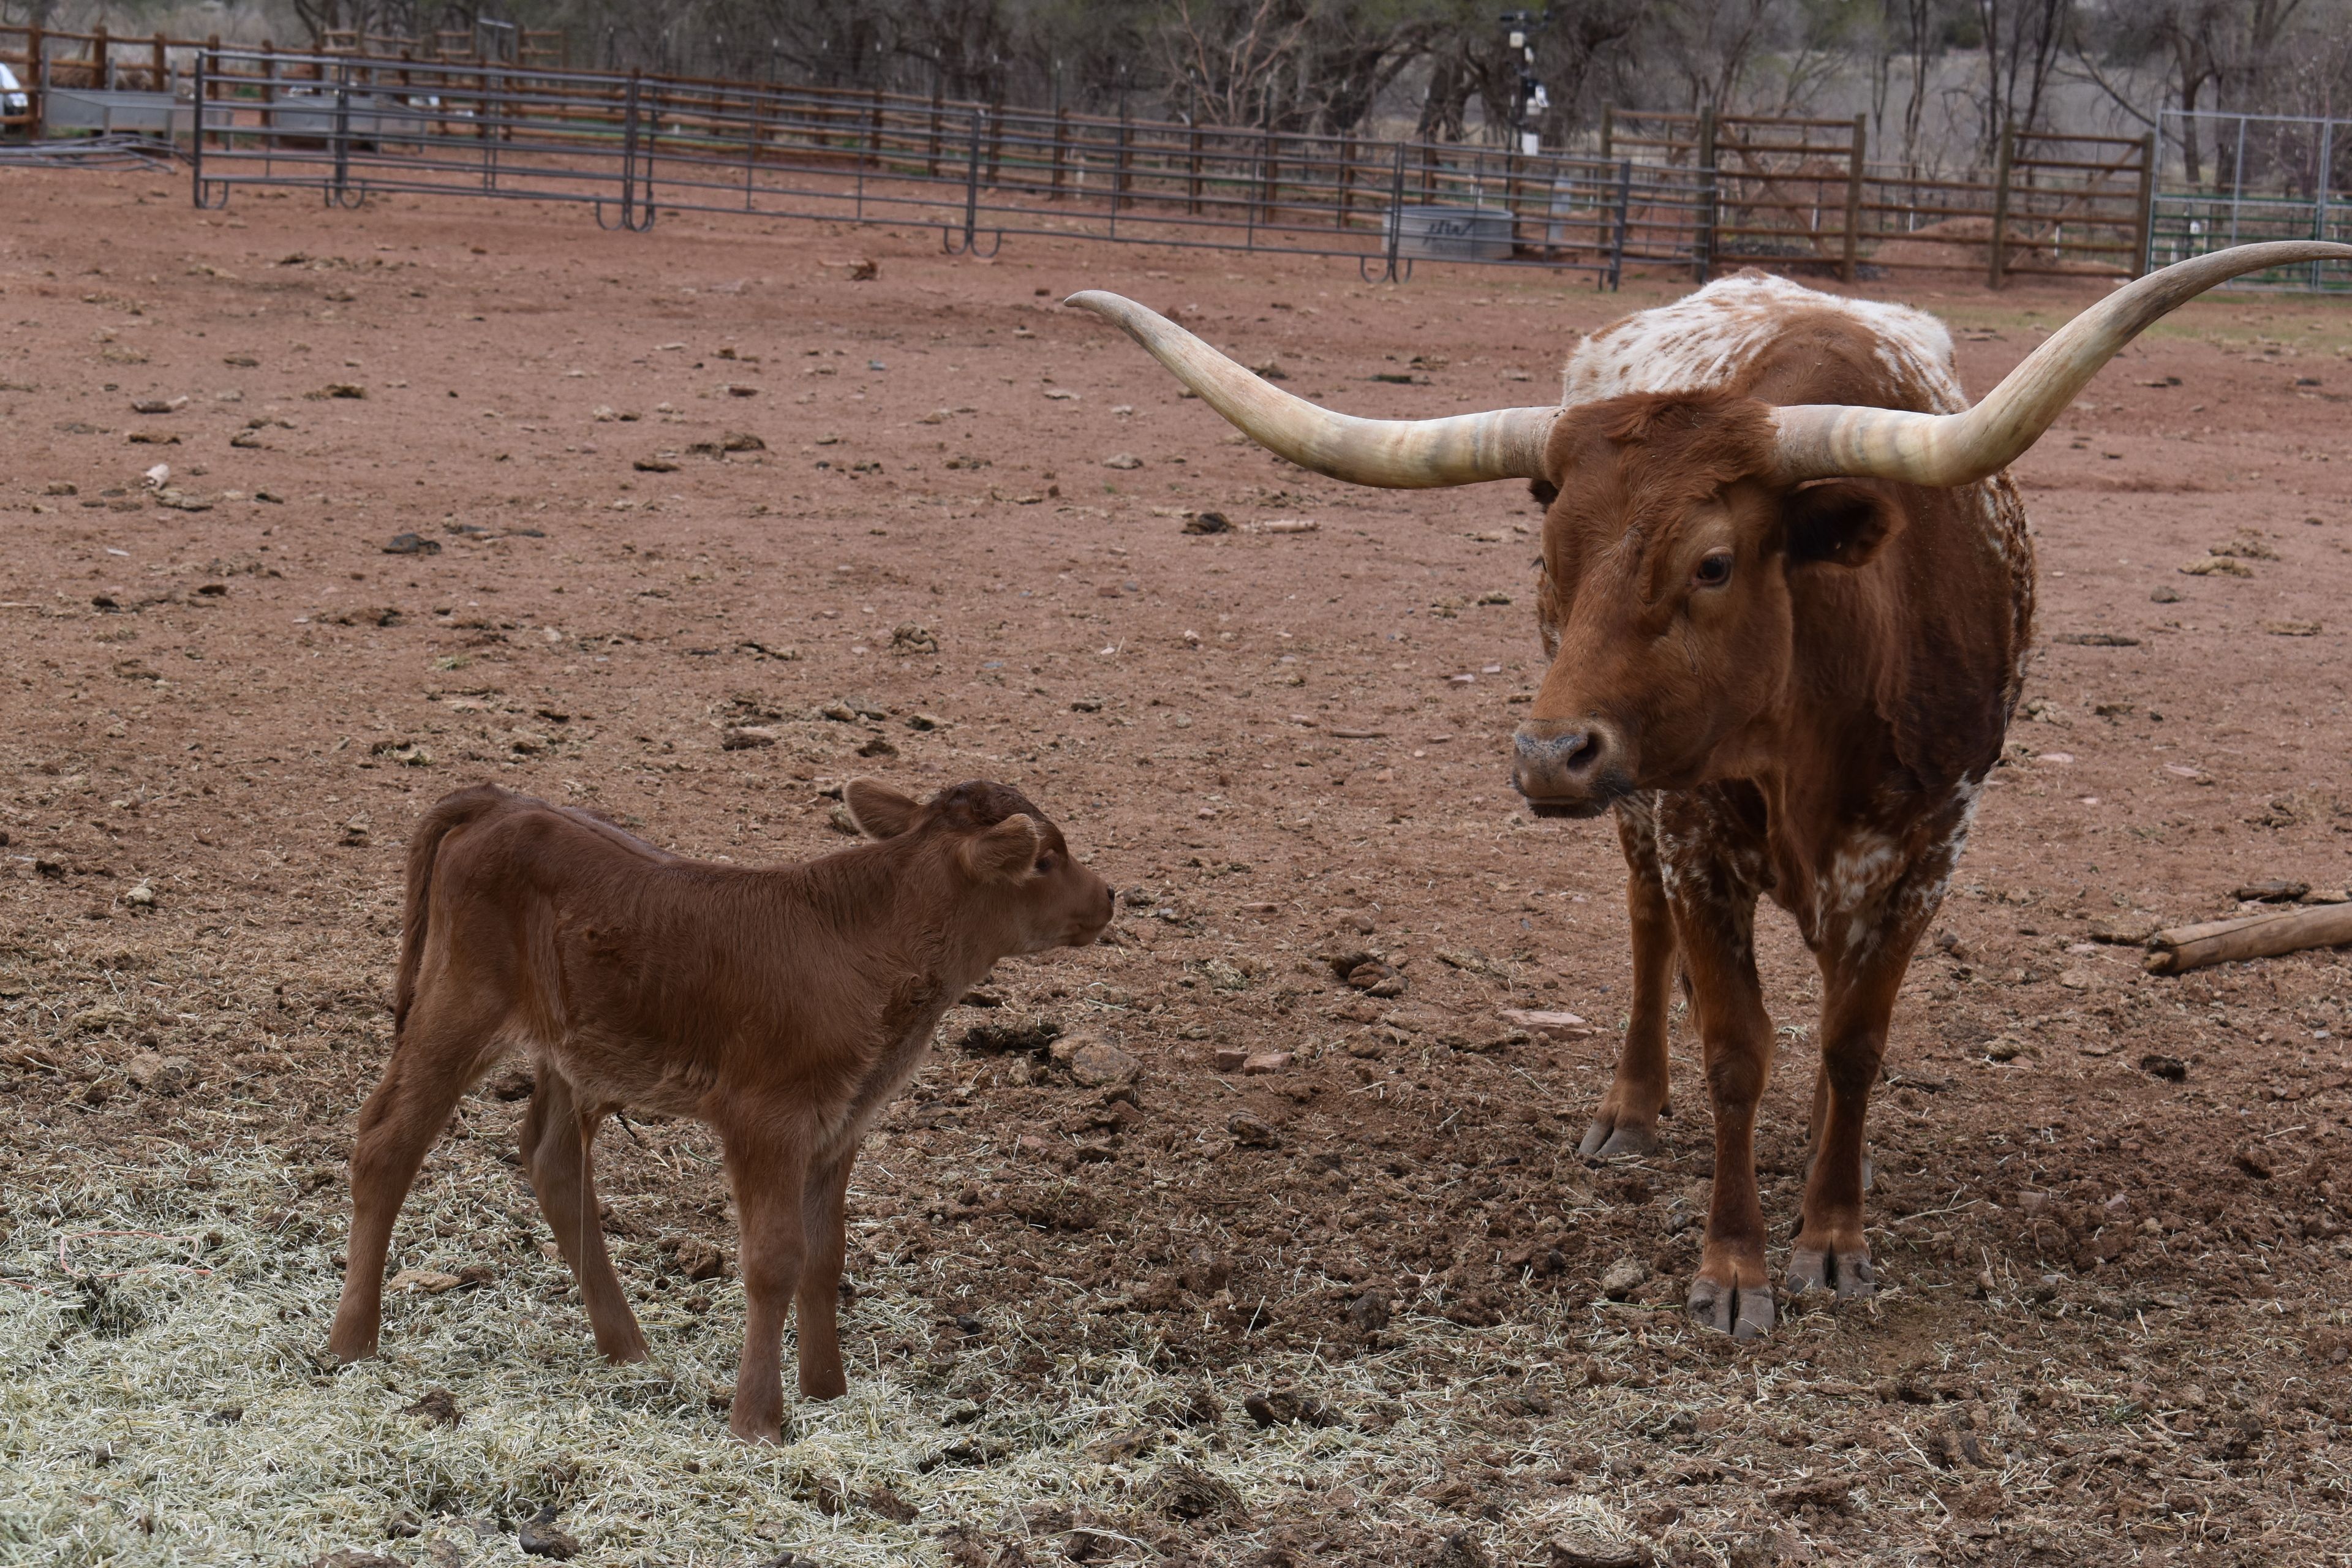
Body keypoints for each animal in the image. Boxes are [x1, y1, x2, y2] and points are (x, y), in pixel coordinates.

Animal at [326, 778, 1115, 1440]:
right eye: (1045, 858)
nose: (1109, 894)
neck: (870, 947)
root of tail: (499, 800)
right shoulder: (766, 1117)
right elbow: (775, 1257)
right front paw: (757, 1420)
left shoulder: (841, 1123)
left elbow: (826, 1254)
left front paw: (827, 1390)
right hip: (460, 1001)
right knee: (387, 1140)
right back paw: (351, 1342)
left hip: (575, 1045)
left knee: (551, 1160)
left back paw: (628, 1347)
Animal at [1070, 241, 2350, 1338]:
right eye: (1555, 558)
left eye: (1715, 564)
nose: (1548, 756)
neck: (1822, 692)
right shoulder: (1692, 829)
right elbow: (1737, 1047)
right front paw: (1735, 1269)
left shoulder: (1931, 843)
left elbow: (1853, 1041)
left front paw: (1833, 1234)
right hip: (1645, 817)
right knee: (1649, 936)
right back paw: (1632, 1110)